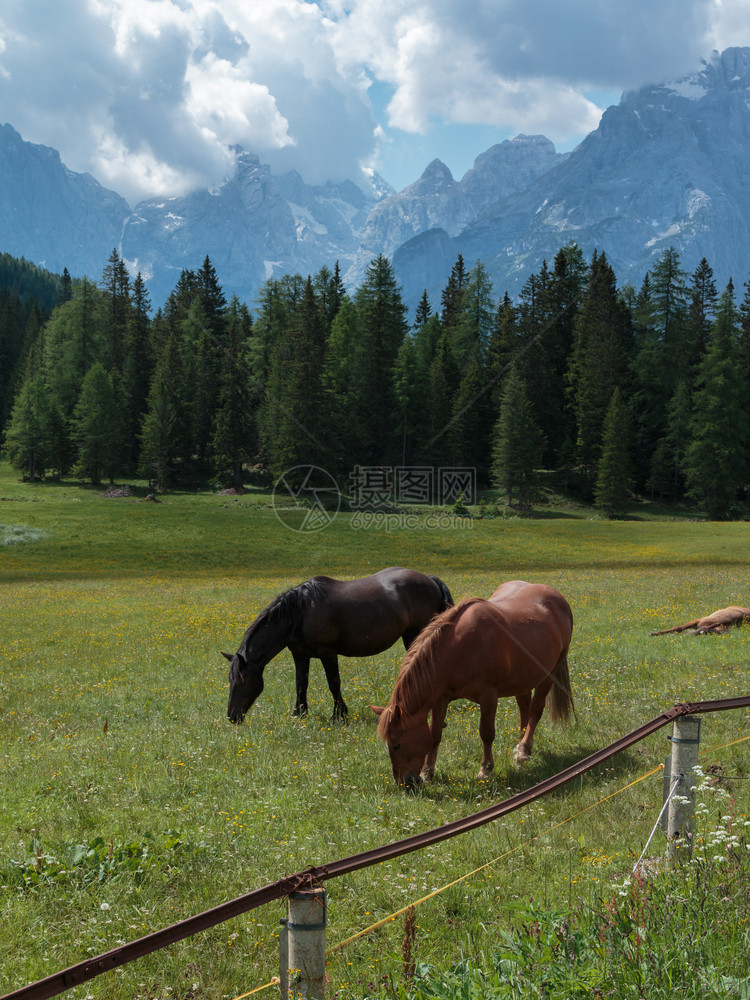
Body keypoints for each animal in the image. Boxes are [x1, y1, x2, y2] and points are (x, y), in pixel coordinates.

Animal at [226, 568, 456, 724]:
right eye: (230, 680)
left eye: (243, 680)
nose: (232, 717)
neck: (300, 612)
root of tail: (430, 580)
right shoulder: (300, 655)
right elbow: (301, 683)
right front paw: (299, 713)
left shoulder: (328, 653)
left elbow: (333, 683)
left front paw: (339, 715)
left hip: (416, 633)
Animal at [372, 580, 576, 788]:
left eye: (396, 744)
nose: (406, 784)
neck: (458, 647)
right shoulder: (441, 698)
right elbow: (435, 734)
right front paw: (428, 772)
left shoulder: (488, 695)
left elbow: (486, 732)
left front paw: (485, 770)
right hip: (523, 678)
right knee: (524, 707)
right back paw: (520, 745)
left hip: (550, 673)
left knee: (535, 710)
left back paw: (523, 750)